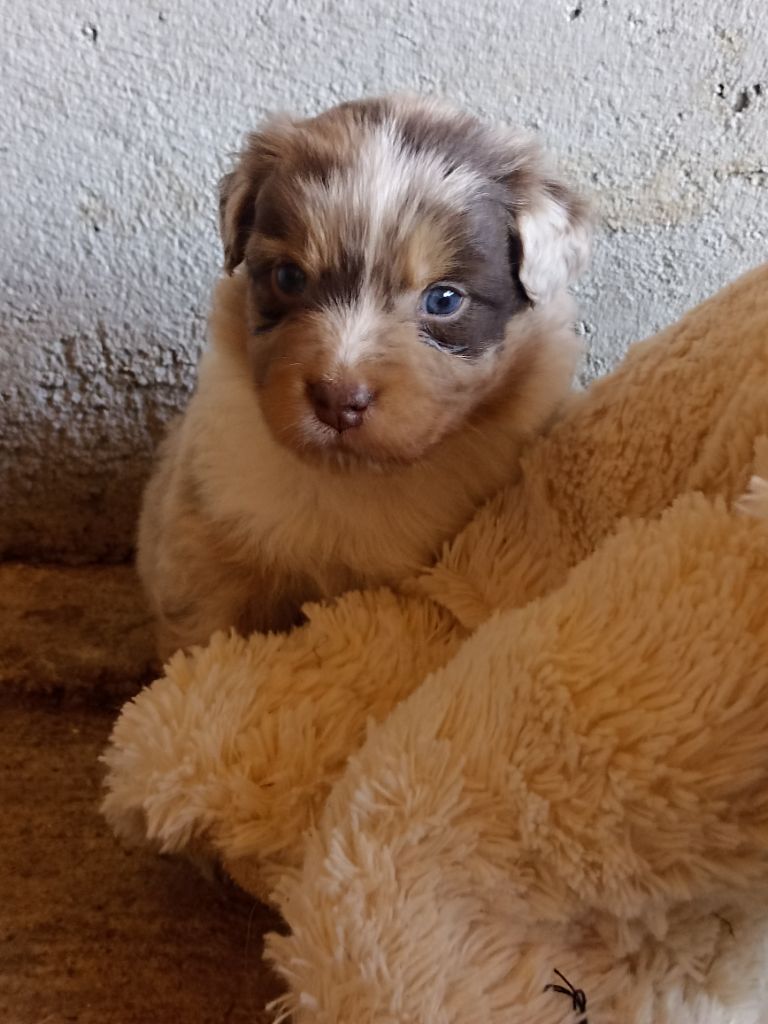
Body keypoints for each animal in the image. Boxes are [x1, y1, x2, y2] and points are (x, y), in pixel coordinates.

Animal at [138, 94, 593, 655]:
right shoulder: (205, 546)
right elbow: (207, 642)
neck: (356, 476)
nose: (338, 400)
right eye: (289, 278)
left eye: (444, 299)